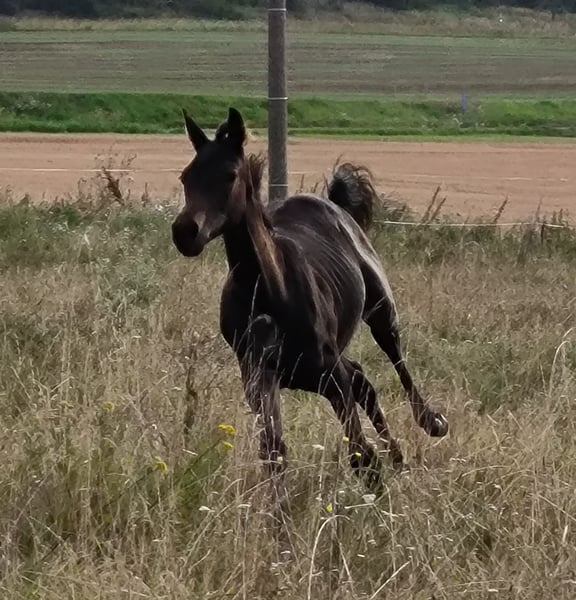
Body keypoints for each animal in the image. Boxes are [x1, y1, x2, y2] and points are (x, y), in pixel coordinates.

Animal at [172, 107, 449, 524]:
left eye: (229, 175)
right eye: (186, 176)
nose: (185, 232)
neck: (266, 291)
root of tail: (332, 204)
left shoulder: (330, 374)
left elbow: (361, 454)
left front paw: (381, 506)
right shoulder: (259, 378)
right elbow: (274, 453)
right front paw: (281, 527)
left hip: (379, 310)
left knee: (395, 360)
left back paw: (430, 424)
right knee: (363, 379)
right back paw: (399, 459)